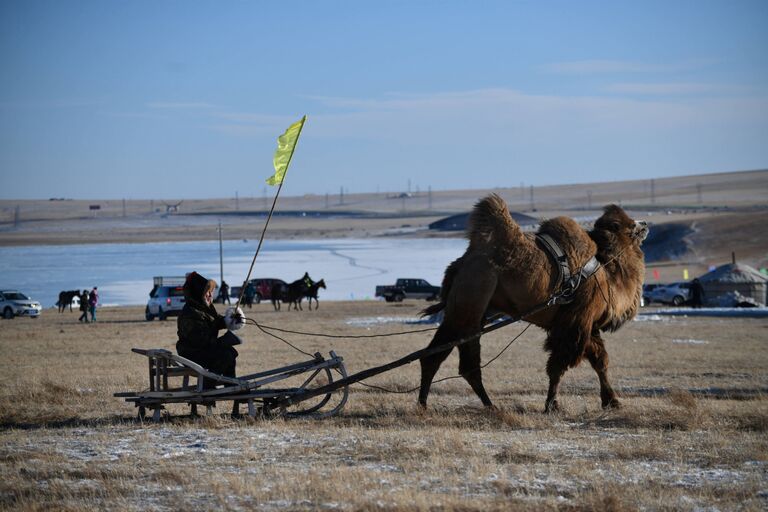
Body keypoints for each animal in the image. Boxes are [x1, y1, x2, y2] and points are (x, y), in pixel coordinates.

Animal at [420, 195, 648, 412]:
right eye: (628, 225)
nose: (645, 223)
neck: (607, 274)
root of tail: (460, 265)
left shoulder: (587, 325)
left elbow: (600, 361)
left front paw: (612, 401)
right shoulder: (576, 321)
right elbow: (559, 365)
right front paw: (551, 405)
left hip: (468, 312)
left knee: (441, 356)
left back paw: (438, 404)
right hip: (472, 300)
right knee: (455, 359)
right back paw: (475, 404)